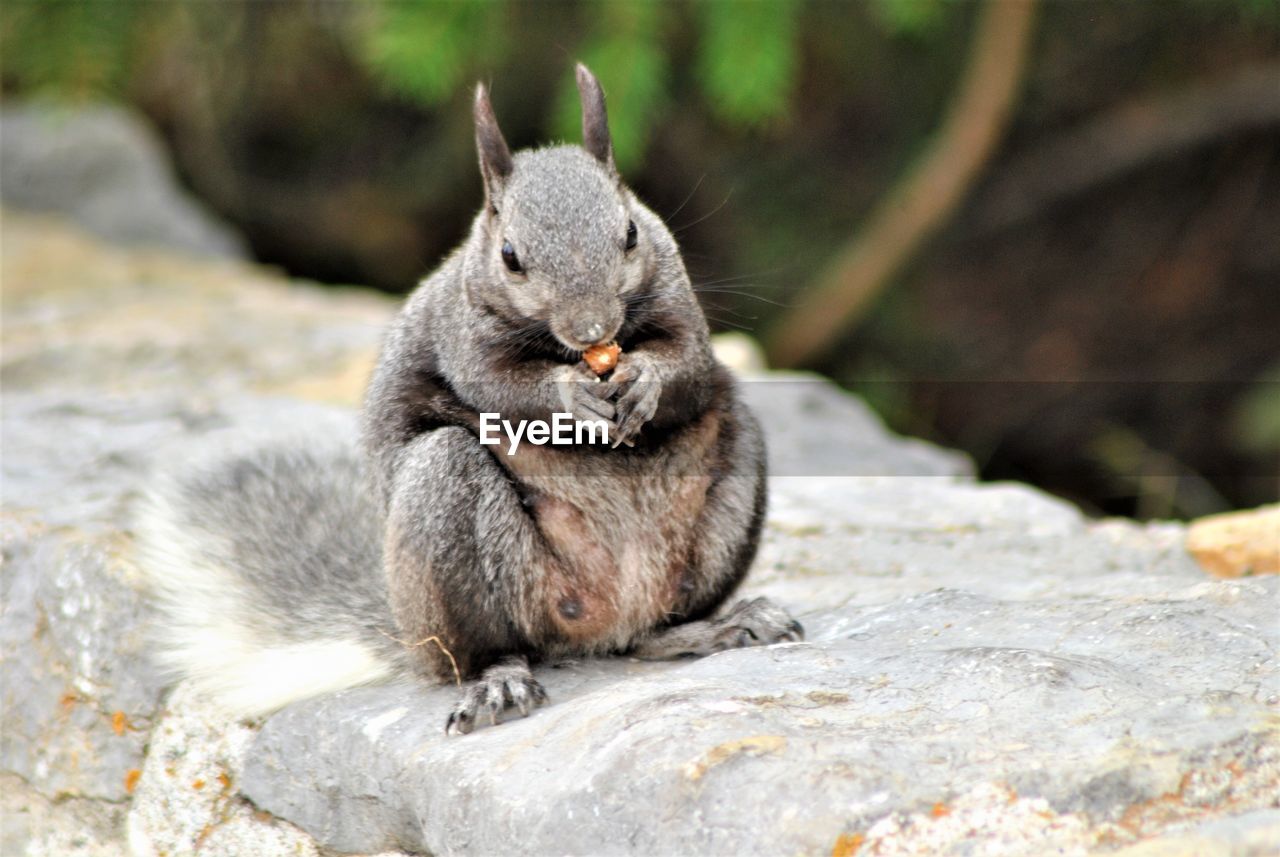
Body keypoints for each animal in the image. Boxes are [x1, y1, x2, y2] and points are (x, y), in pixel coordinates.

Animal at [137, 65, 798, 736]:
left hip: (727, 482)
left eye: (632, 232)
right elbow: (501, 386)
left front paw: (645, 380)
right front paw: (570, 396)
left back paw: (712, 626)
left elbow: (689, 361)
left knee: (649, 632)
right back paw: (499, 683)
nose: (592, 328)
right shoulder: (464, 338)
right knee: (488, 648)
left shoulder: (675, 292)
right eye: (510, 256)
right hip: (452, 514)